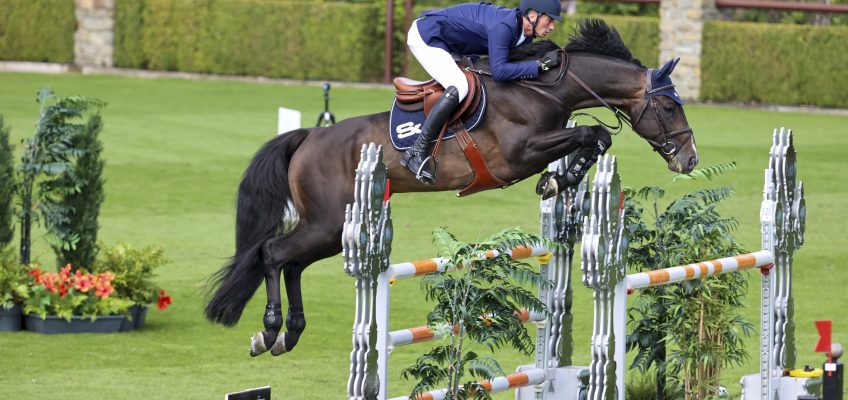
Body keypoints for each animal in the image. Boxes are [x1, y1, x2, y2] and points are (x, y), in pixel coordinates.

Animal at [204, 18, 696, 356]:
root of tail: (308, 136)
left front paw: (559, 180)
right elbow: (591, 134)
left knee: (292, 263)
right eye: (670, 107)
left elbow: (594, 138)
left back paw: (288, 334)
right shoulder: (517, 154)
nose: (689, 159)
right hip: (327, 223)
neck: (543, 88)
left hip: (329, 229)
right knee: (274, 255)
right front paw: (558, 178)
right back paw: (270, 331)